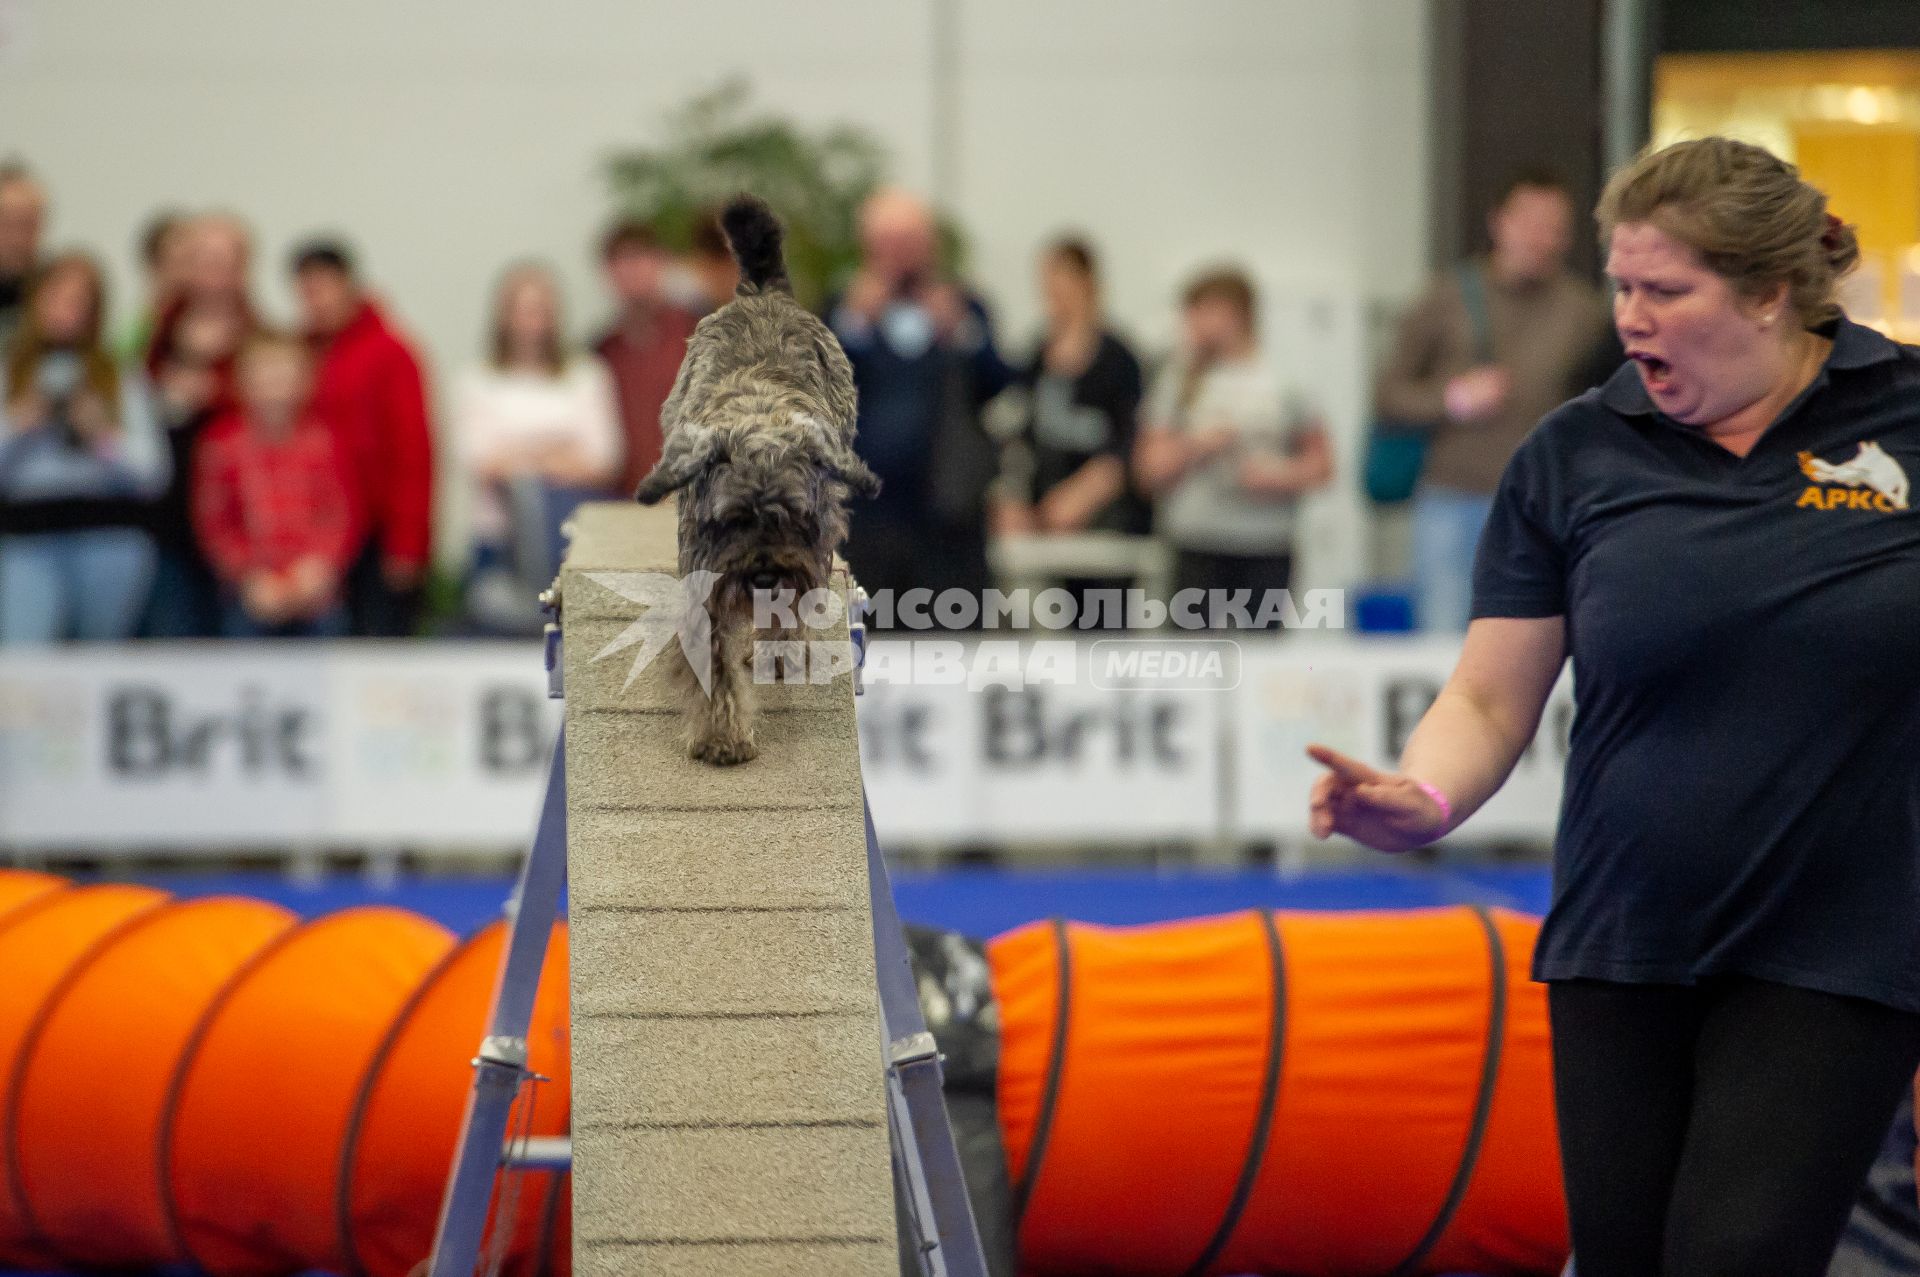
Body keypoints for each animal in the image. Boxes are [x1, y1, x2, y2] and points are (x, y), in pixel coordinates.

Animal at [633, 193, 879, 760]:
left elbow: (787, 618)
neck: (761, 422)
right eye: (733, 519)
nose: (764, 574)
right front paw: (722, 736)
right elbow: (713, 664)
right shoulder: (703, 585)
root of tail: (762, 290)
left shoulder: (810, 554)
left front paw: (778, 657)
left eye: (794, 516)